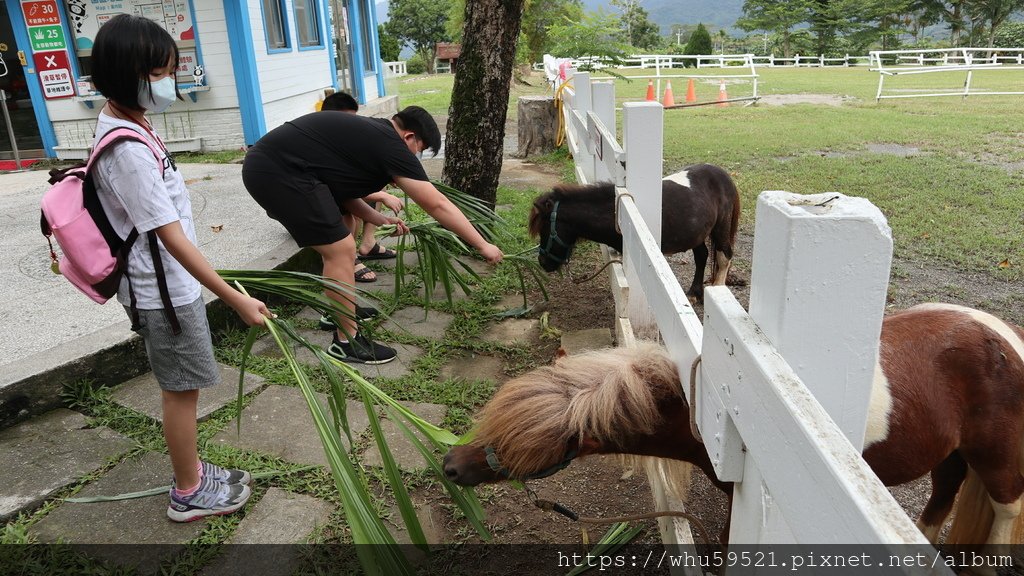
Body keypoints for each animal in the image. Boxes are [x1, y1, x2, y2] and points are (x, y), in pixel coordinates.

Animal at [444, 301, 1024, 545]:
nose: (450, 464)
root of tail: (1004, 336)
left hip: (997, 466)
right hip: (952, 455)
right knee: (942, 497)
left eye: (525, 441)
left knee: (1004, 514)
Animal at [528, 162, 737, 301]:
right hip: (697, 235)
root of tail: (722, 174)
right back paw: (694, 293)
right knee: (702, 256)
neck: (618, 213)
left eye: (544, 229)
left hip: (721, 228)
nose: (542, 262)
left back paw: (718, 290)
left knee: (724, 257)